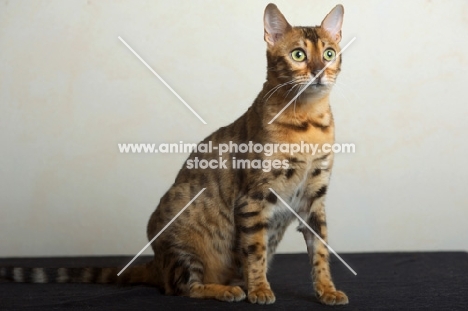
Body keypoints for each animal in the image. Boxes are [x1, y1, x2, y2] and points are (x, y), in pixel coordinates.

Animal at [0, 2, 348, 308]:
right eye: (298, 54)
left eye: (329, 53)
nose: (319, 71)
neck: (308, 123)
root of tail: (157, 263)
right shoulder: (255, 197)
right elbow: (256, 251)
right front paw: (260, 290)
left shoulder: (314, 198)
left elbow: (320, 252)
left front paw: (327, 291)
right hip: (183, 238)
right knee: (183, 288)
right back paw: (227, 290)